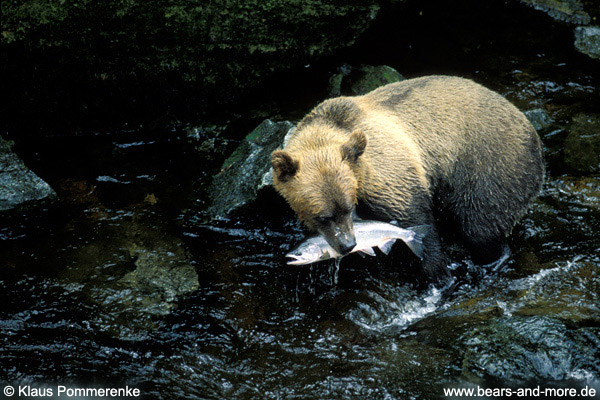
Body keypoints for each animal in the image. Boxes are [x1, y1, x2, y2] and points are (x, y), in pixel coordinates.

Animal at [270, 75, 544, 282]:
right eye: (323, 216)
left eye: (347, 208)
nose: (347, 245)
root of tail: (530, 128)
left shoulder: (389, 173)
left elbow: (415, 218)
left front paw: (435, 274)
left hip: (490, 164)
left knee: (481, 226)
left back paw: (492, 259)